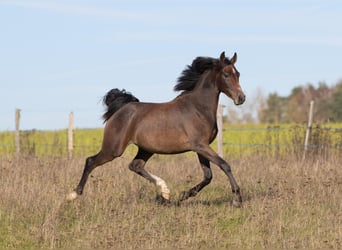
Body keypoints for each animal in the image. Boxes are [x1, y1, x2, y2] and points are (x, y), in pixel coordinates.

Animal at [67, 51, 246, 207]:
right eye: (226, 75)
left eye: (238, 74)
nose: (241, 98)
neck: (198, 108)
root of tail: (120, 109)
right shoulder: (200, 145)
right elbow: (224, 165)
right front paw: (237, 199)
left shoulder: (201, 147)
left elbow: (208, 176)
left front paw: (183, 195)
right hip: (113, 149)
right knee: (91, 161)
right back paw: (73, 194)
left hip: (146, 148)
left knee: (135, 165)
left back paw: (165, 191)